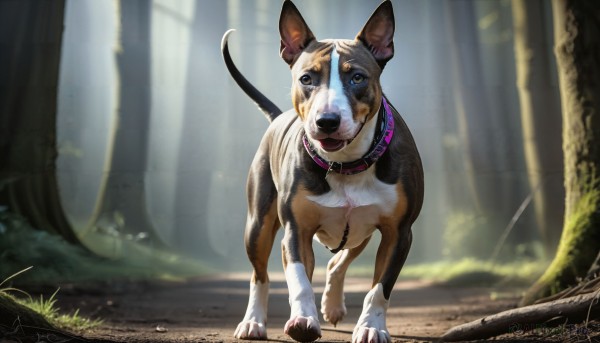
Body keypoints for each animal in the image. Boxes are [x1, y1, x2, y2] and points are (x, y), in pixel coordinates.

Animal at [220, 1, 422, 342]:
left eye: (357, 77)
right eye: (306, 78)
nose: (326, 120)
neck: (346, 162)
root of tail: (278, 117)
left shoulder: (399, 232)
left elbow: (380, 288)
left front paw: (371, 326)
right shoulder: (296, 228)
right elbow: (299, 280)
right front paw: (303, 320)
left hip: (361, 230)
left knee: (339, 261)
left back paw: (333, 306)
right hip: (258, 224)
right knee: (260, 274)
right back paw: (253, 321)